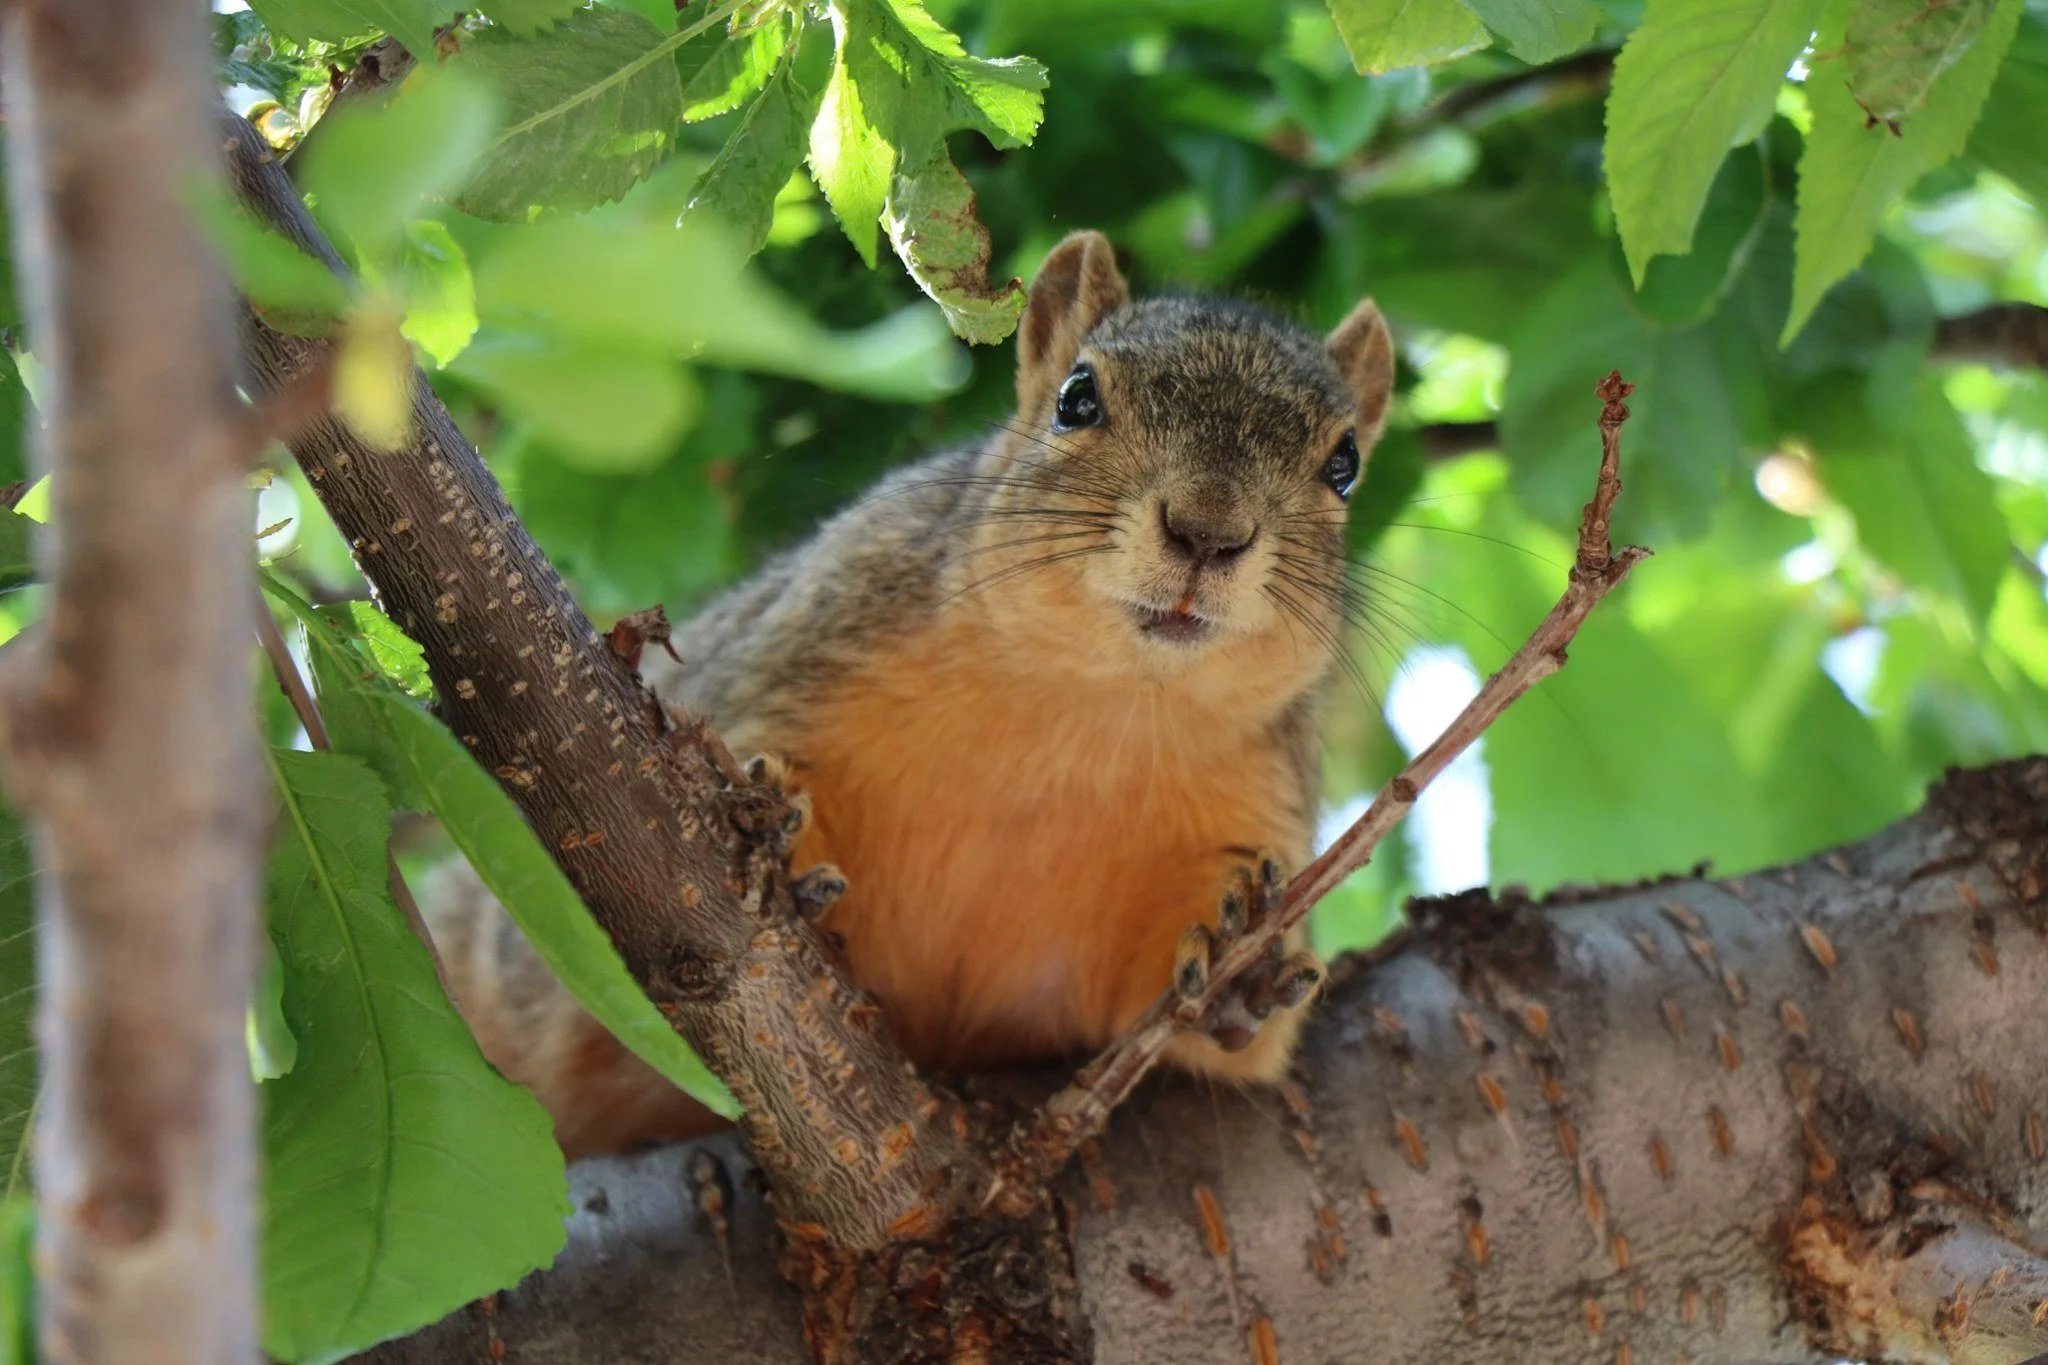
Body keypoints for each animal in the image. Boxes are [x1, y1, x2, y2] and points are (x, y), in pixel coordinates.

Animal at [421, 230, 1397, 1158]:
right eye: (1077, 399)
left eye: (1344, 464)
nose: (1208, 532)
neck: (1090, 706)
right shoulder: (796, 642)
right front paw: (766, 818)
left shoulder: (1259, 795)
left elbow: (1209, 1043)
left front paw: (1240, 967)